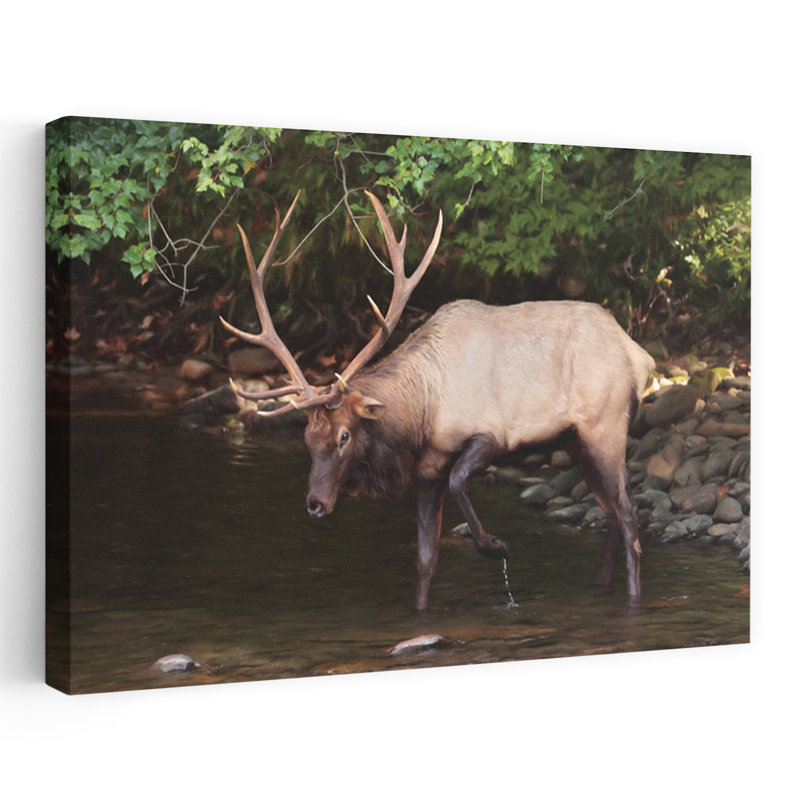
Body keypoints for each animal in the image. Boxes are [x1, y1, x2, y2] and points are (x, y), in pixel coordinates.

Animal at [220, 189, 655, 611]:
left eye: (344, 436)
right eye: (308, 441)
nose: (315, 503)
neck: (422, 416)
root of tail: (641, 356)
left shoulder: (491, 434)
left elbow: (461, 481)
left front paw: (497, 546)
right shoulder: (428, 471)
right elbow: (425, 558)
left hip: (605, 427)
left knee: (628, 511)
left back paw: (634, 597)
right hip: (574, 440)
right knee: (610, 511)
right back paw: (600, 587)